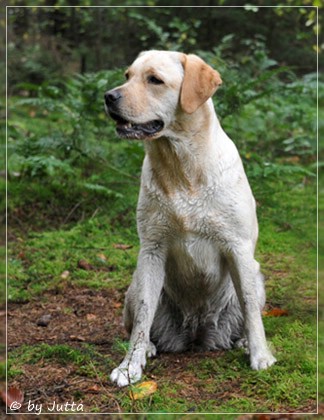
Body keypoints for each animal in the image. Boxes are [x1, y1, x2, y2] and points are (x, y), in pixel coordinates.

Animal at [104, 50, 276, 388]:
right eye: (127, 76)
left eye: (154, 80)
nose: (108, 96)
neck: (180, 167)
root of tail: (197, 333)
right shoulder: (152, 249)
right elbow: (143, 314)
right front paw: (129, 366)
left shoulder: (238, 247)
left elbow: (250, 307)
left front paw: (261, 356)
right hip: (135, 281)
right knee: (139, 321)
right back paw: (149, 347)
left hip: (256, 273)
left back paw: (243, 341)